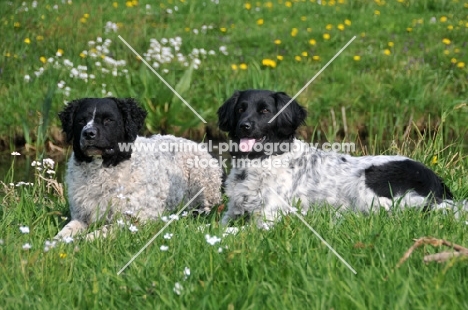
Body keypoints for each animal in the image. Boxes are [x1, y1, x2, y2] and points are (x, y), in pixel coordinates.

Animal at [54, 97, 223, 240]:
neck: (101, 171)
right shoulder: (81, 216)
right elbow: (65, 232)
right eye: (81, 120)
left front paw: (84, 240)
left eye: (109, 120)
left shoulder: (134, 220)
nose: (88, 133)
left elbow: (99, 232)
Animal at [218, 88, 466, 226]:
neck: (258, 162)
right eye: (240, 109)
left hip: (366, 183)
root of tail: (436, 183)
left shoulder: (268, 216)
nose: (244, 126)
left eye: (265, 111)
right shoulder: (232, 211)